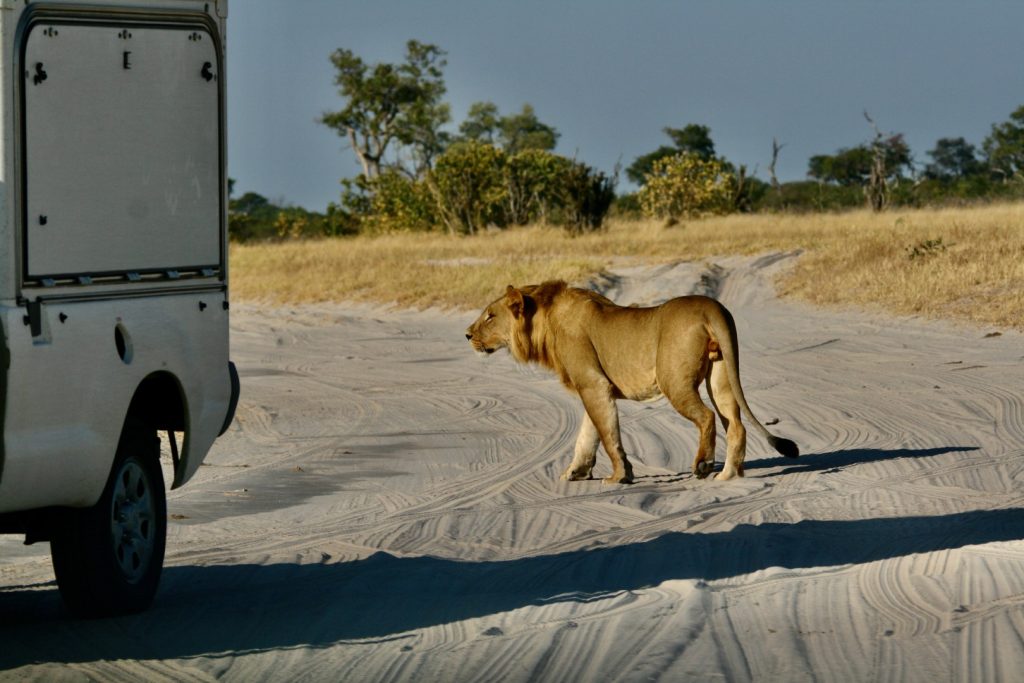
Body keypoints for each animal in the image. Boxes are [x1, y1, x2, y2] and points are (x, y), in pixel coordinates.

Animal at [466, 280, 798, 483]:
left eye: (490, 316)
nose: (467, 335)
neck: (543, 322)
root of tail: (710, 306)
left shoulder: (593, 384)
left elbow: (608, 435)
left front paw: (619, 476)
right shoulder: (596, 388)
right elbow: (588, 434)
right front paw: (575, 472)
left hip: (673, 381)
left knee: (707, 418)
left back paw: (703, 465)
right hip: (720, 375)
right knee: (736, 424)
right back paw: (728, 475)